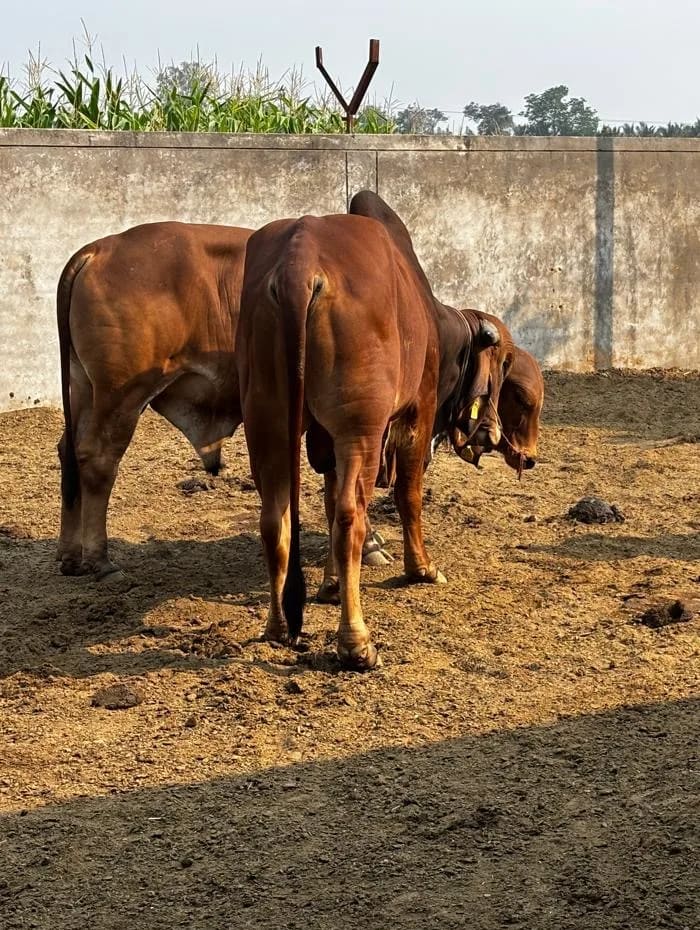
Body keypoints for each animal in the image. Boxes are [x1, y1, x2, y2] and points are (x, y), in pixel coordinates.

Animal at [236, 190, 512, 670]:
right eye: (496, 368)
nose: (492, 432)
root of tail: (298, 263)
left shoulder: (324, 442)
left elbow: (327, 504)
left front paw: (330, 584)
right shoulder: (415, 415)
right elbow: (407, 495)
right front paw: (422, 568)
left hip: (266, 420)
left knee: (276, 519)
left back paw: (277, 626)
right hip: (358, 428)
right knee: (351, 515)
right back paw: (356, 643)